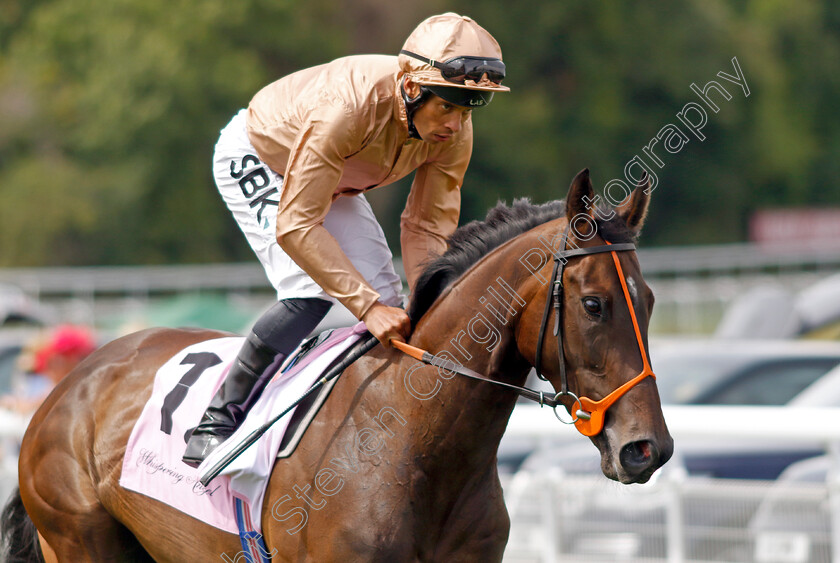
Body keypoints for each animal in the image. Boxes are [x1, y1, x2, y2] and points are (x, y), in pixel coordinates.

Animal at [0, 169, 668, 563]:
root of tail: (73, 379)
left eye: (650, 301)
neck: (414, 441)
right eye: (594, 303)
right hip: (80, 539)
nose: (647, 449)